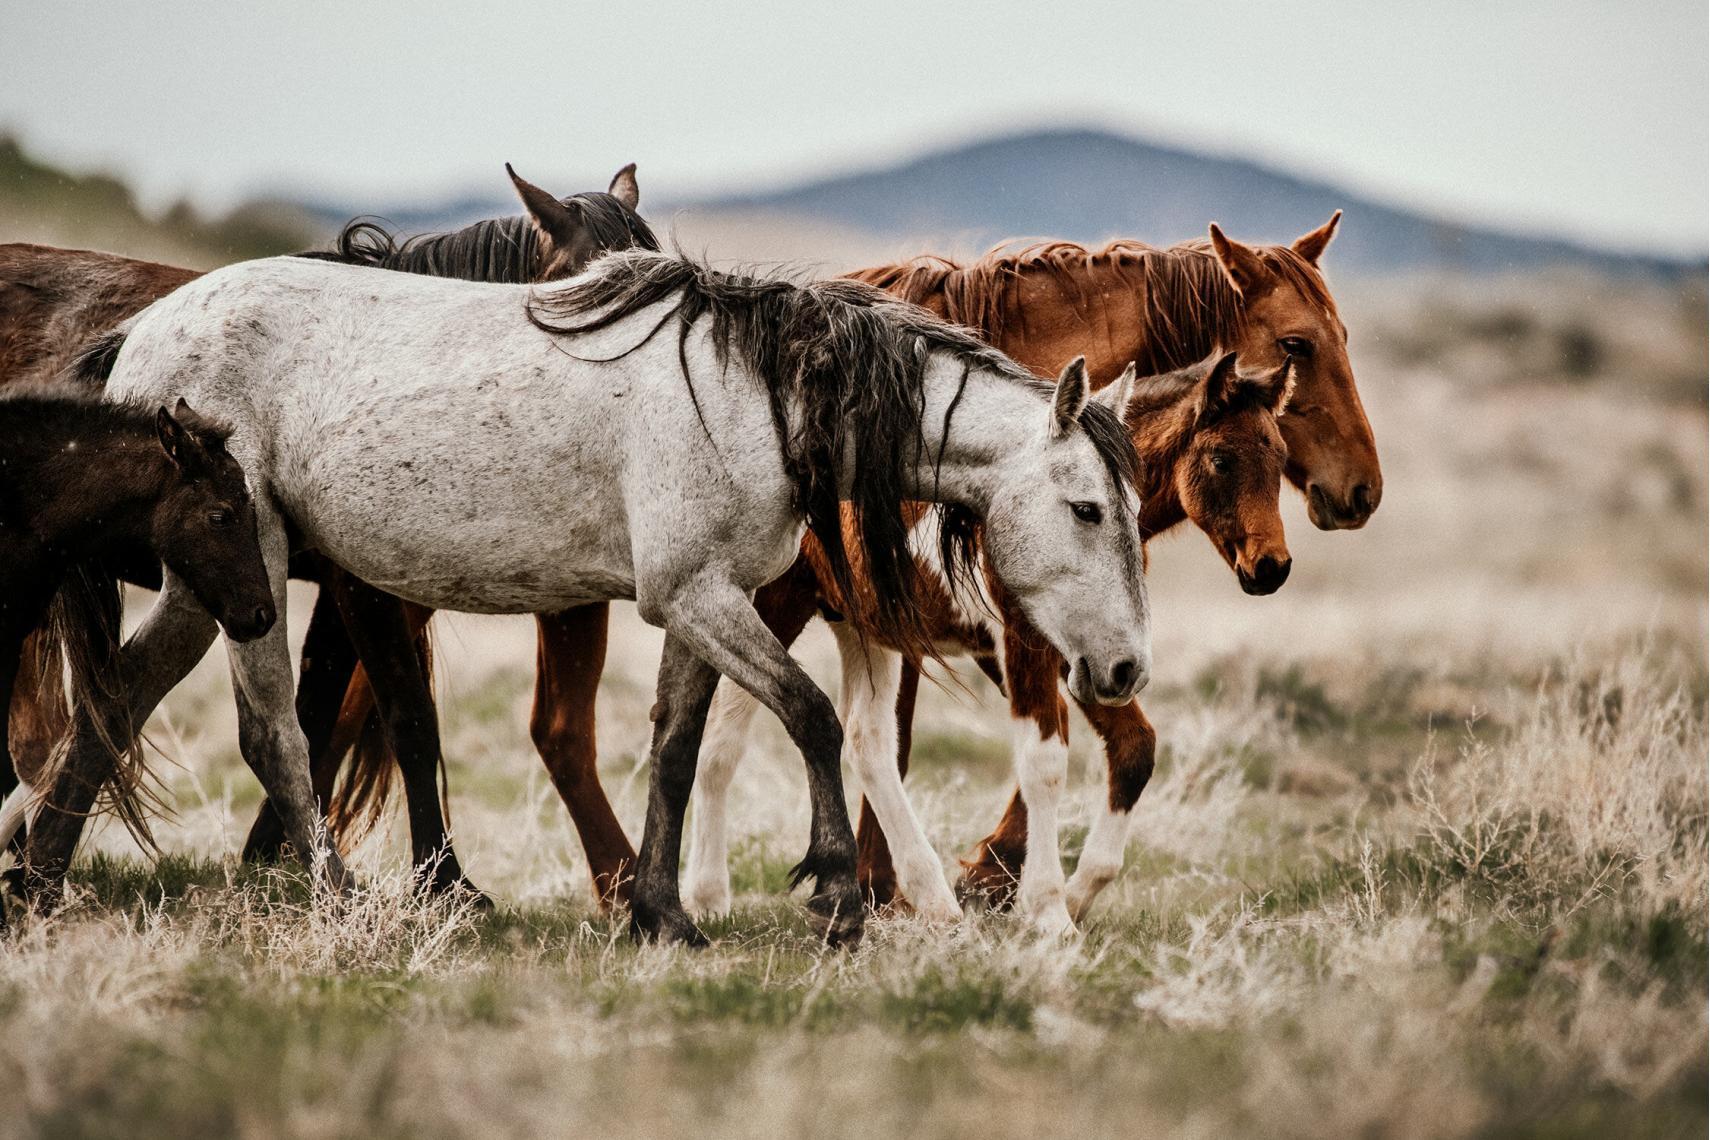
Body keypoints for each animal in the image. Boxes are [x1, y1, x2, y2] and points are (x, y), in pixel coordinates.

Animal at [29, 249, 1153, 948]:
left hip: (200, 589)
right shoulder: (698, 598)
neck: (758, 396)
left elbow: (676, 747)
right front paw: (836, 893)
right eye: (1089, 508)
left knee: (112, 707)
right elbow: (813, 718)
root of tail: (145, 332)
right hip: (249, 568)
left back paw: (37, 878)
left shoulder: (705, 604)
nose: (1126, 669)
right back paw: (339, 899)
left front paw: (662, 913)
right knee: (271, 737)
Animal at [679, 351, 1295, 930]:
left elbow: (1132, 744)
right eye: (1221, 459)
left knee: (866, 742)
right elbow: (1045, 760)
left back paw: (931, 899)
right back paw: (709, 896)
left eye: (1282, 459)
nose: (1271, 566)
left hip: (862, 626)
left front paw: (1073, 894)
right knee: (725, 738)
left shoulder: (1091, 654)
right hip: (773, 604)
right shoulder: (1025, 642)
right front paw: (1046, 912)